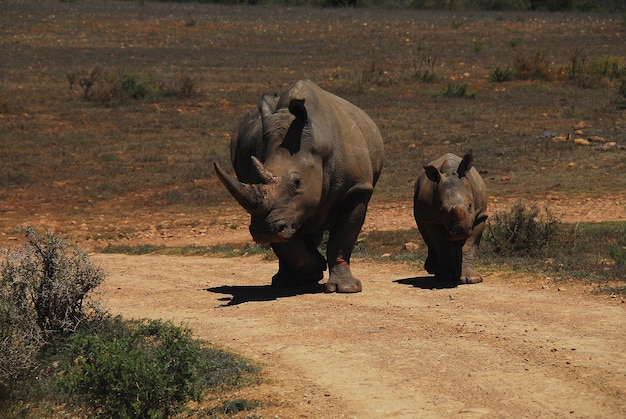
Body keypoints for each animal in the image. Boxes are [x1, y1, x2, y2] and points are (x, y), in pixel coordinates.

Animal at [214, 80, 382, 294]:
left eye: (297, 182)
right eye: (255, 178)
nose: (262, 231)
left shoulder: (356, 189)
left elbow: (343, 237)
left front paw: (346, 288)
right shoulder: (288, 209)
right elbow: (289, 243)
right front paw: (314, 269)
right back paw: (286, 282)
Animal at [414, 153, 488, 284]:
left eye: (470, 205)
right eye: (441, 210)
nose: (459, 232)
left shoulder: (480, 215)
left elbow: (470, 245)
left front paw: (472, 279)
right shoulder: (431, 220)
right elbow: (443, 245)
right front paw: (445, 278)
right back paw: (434, 270)